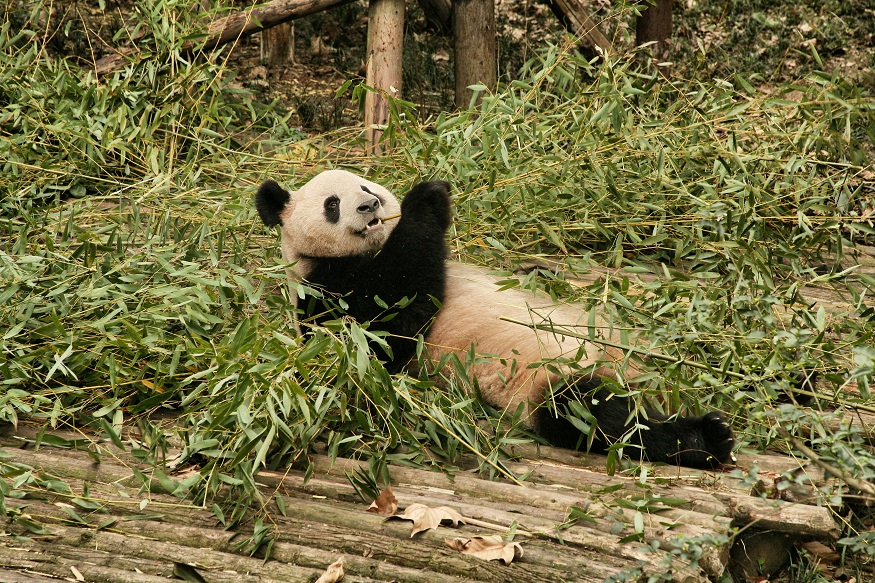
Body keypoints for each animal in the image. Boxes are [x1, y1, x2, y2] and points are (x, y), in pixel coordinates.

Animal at [256, 169, 735, 469]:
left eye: (364, 183)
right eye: (332, 204)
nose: (370, 204)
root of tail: (648, 380)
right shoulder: (326, 292)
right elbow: (386, 330)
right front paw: (427, 199)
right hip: (545, 378)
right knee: (597, 414)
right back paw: (706, 437)